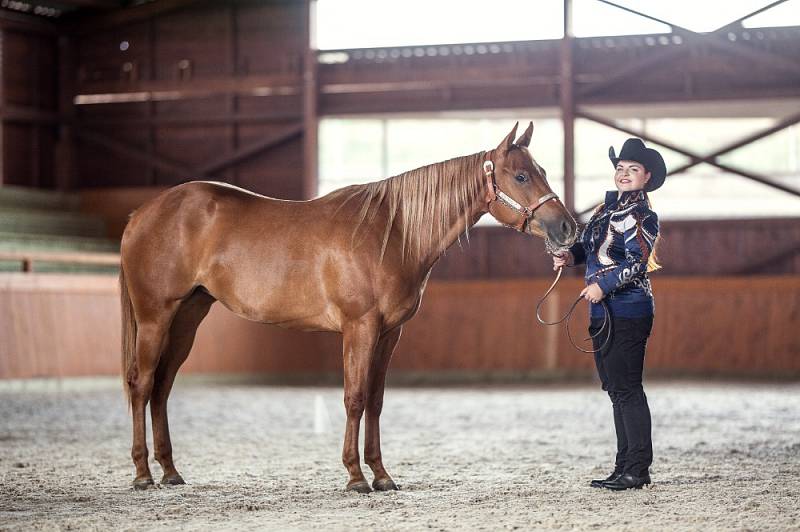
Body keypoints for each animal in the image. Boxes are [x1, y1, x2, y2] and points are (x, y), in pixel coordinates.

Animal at [120, 122, 576, 492]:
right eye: (521, 175)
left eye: (543, 171)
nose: (567, 227)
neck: (393, 232)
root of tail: (142, 213)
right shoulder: (360, 327)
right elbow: (354, 397)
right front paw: (356, 477)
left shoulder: (390, 333)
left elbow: (375, 400)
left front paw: (382, 475)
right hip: (155, 316)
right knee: (142, 384)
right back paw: (142, 475)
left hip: (188, 318)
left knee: (162, 387)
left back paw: (170, 472)